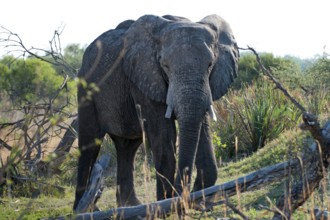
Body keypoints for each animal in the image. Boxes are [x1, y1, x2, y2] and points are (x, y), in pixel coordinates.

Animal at [73, 14, 238, 211]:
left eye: (210, 64)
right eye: (165, 66)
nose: (185, 194)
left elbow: (201, 127)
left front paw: (199, 198)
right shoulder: (145, 79)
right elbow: (164, 135)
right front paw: (166, 204)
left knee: (127, 147)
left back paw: (130, 205)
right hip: (86, 89)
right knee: (89, 144)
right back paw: (85, 209)